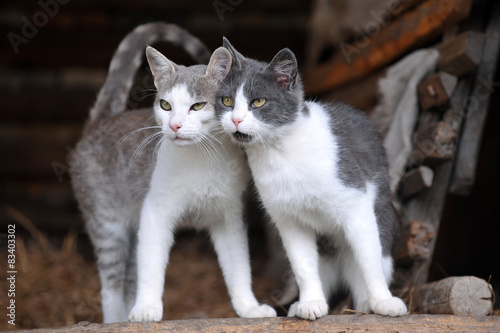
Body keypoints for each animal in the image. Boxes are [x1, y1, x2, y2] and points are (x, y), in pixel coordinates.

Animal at [70, 24, 276, 324]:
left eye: (198, 106)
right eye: (165, 105)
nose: (175, 125)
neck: (203, 159)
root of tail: (102, 122)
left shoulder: (228, 216)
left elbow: (238, 265)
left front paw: (249, 308)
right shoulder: (155, 212)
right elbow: (151, 265)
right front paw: (146, 308)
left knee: (129, 276)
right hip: (106, 223)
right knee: (111, 284)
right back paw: (116, 320)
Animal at [215, 39, 406, 320]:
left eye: (258, 102)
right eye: (227, 101)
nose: (236, 119)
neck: (279, 152)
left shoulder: (357, 205)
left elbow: (369, 260)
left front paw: (384, 301)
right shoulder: (287, 218)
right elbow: (302, 265)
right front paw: (311, 303)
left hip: (382, 215)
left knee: (371, 257)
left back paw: (363, 303)